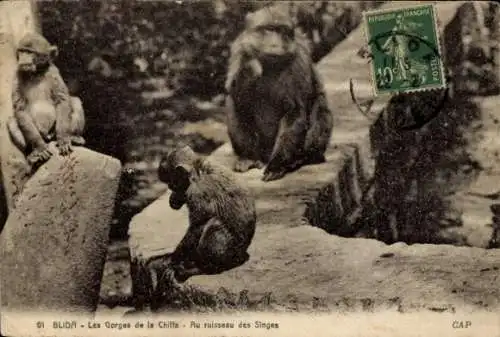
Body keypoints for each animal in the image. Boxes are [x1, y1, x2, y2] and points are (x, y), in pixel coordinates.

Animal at [7, 32, 86, 167]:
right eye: (22, 51)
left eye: (30, 52)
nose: (23, 58)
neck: (36, 73)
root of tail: (48, 137)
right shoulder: (17, 74)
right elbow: (20, 109)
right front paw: (39, 147)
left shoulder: (53, 72)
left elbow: (62, 100)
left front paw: (63, 138)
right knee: (12, 121)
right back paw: (32, 153)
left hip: (53, 133)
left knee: (75, 102)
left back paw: (73, 137)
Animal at [225, 3, 334, 181]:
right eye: (269, 29)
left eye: (281, 31)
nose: (275, 44)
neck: (270, 66)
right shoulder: (240, 52)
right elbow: (237, 96)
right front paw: (249, 69)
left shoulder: (299, 61)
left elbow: (295, 110)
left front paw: (276, 165)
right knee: (232, 104)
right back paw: (249, 157)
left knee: (320, 109)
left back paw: (303, 158)